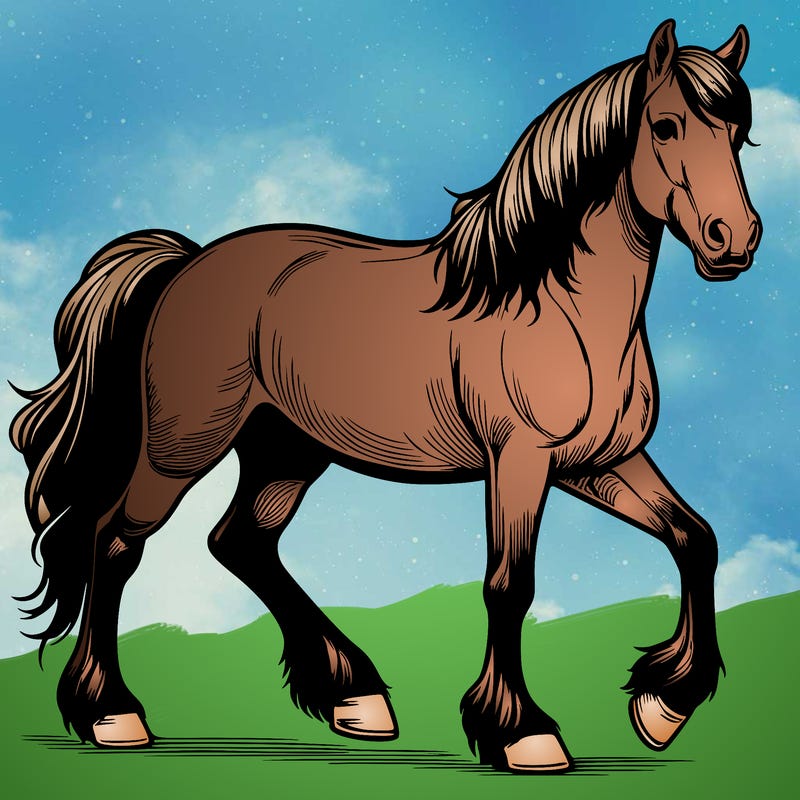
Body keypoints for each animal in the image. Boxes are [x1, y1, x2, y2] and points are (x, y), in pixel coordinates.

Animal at [10, 20, 760, 773]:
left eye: (739, 132)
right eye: (664, 125)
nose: (735, 240)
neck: (556, 307)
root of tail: (186, 264)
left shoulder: (598, 462)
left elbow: (695, 539)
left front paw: (663, 706)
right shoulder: (520, 461)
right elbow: (509, 584)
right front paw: (523, 733)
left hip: (286, 450)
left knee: (241, 541)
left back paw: (355, 697)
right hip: (182, 447)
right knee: (115, 542)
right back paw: (113, 715)